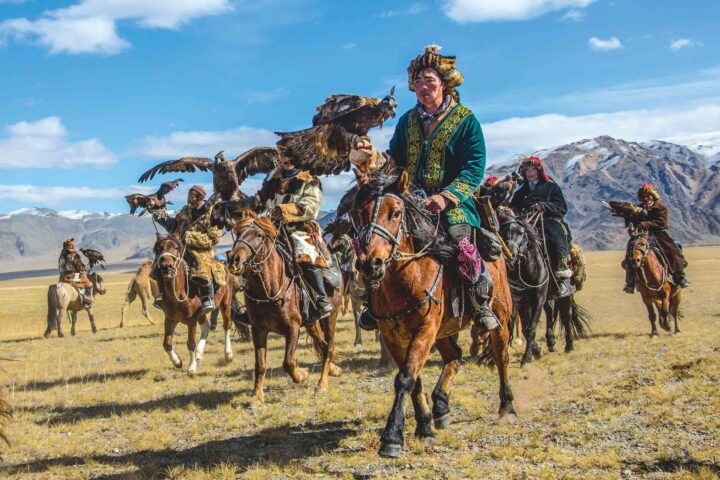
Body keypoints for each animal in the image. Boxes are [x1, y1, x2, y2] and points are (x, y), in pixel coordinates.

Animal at [153, 232, 235, 376]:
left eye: (176, 248)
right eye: (159, 249)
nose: (167, 266)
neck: (178, 293)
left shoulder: (191, 320)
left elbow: (190, 343)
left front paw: (191, 368)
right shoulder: (170, 319)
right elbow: (167, 343)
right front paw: (177, 362)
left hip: (225, 303)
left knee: (226, 325)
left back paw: (228, 355)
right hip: (201, 314)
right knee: (206, 328)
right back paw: (199, 356)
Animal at [228, 215, 346, 404]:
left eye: (259, 235)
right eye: (237, 234)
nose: (234, 259)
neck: (269, 288)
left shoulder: (293, 327)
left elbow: (288, 361)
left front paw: (301, 375)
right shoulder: (258, 329)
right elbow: (260, 364)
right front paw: (256, 397)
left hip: (330, 317)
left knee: (328, 347)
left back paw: (322, 384)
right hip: (312, 323)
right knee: (322, 345)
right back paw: (334, 370)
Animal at [350, 172, 516, 458]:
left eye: (396, 213)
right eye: (359, 212)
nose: (370, 263)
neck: (408, 275)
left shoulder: (425, 328)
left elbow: (405, 378)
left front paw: (392, 437)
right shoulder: (393, 336)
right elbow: (413, 379)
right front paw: (424, 425)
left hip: (499, 319)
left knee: (500, 356)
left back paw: (507, 406)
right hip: (444, 330)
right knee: (454, 356)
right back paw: (441, 407)